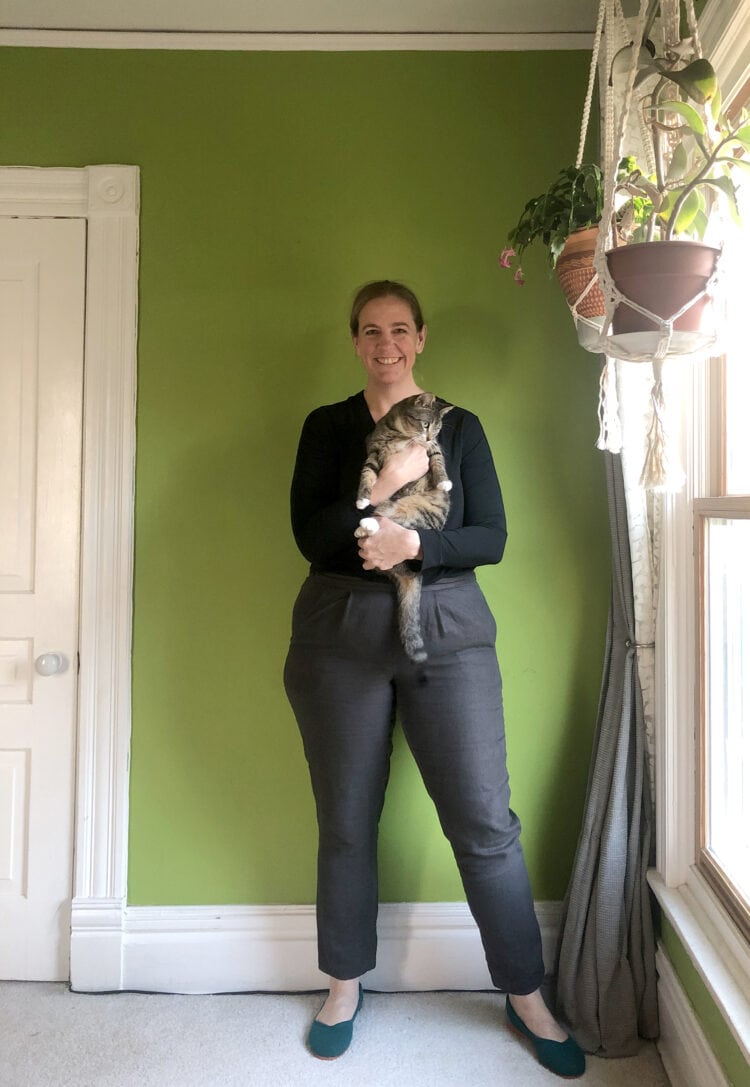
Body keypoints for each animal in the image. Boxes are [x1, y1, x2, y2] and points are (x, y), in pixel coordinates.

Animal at [354, 391, 452, 660]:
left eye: (437, 429)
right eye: (425, 424)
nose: (429, 436)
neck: (399, 434)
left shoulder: (432, 449)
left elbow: (438, 460)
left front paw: (445, 483)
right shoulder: (373, 451)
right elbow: (367, 474)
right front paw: (361, 499)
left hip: (417, 511)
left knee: (398, 520)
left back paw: (368, 525)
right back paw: (364, 526)